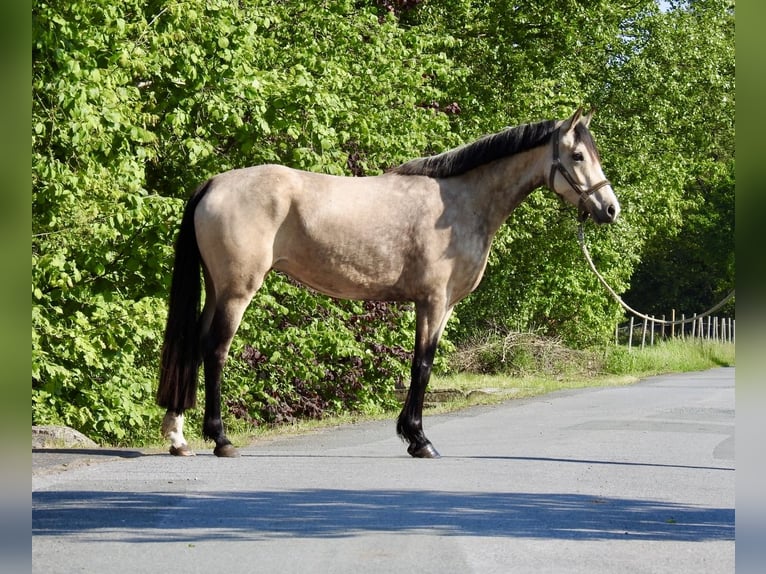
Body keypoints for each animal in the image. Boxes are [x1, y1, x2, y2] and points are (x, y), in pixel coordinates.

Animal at [157, 107, 620, 458]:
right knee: (215, 350)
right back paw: (220, 439)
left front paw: (413, 436)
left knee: (193, 345)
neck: (460, 202)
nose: (610, 208)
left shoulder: (437, 304)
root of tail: (214, 183)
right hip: (237, 291)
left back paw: (179, 438)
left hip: (217, 289)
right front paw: (419, 439)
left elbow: (421, 365)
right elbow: (423, 365)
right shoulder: (434, 301)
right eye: (578, 155)